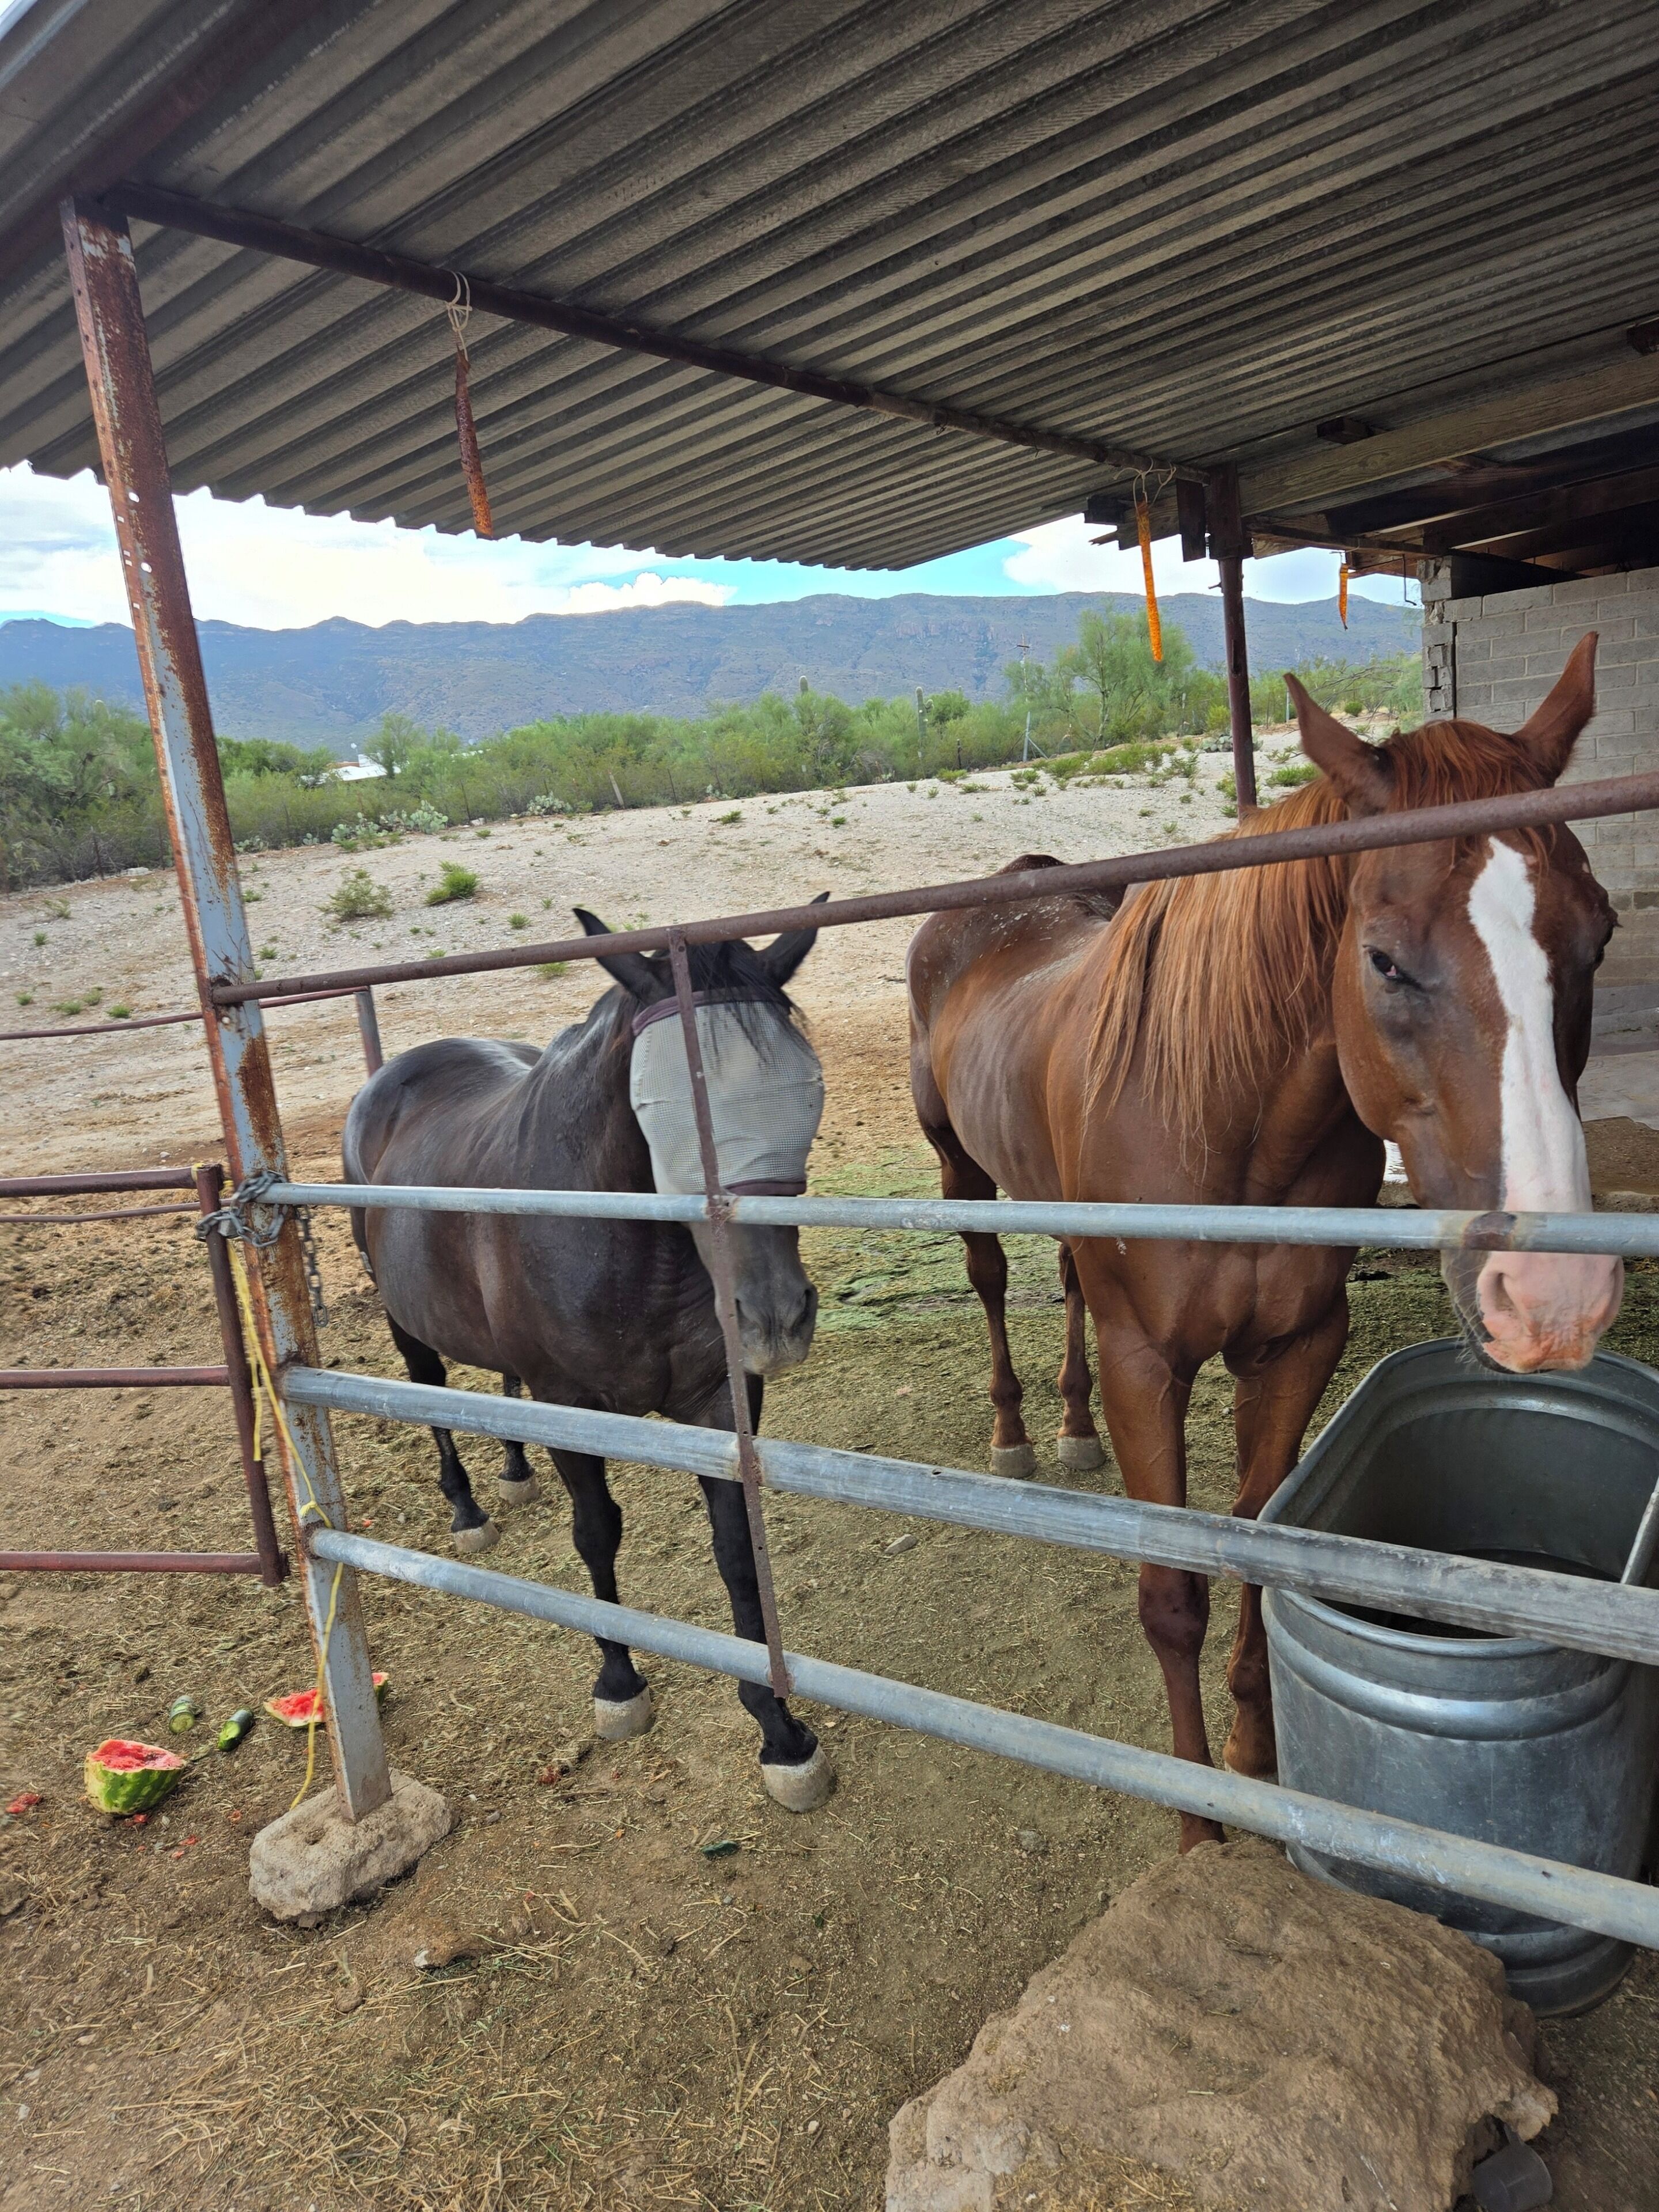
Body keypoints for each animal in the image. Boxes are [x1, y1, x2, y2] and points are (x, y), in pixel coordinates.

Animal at [342, 903, 836, 1811]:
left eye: (805, 1089)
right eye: (660, 1103)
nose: (774, 1318)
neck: (629, 1243)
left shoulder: (720, 1402)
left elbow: (737, 1552)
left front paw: (780, 1733)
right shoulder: (570, 1406)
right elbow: (597, 1533)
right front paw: (619, 1685)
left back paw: (511, 1469)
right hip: (405, 1322)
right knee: (430, 1392)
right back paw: (468, 1509)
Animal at [907, 635, 1619, 1848]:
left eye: (1600, 936)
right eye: (1383, 961)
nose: (1554, 1298)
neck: (1227, 1130)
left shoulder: (1296, 1348)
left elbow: (1256, 1534)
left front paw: (1251, 1761)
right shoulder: (1150, 1363)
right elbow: (1174, 1592)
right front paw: (1200, 1825)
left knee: (1062, 1280)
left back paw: (1070, 1425)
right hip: (960, 1165)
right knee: (993, 1278)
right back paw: (1015, 1430)